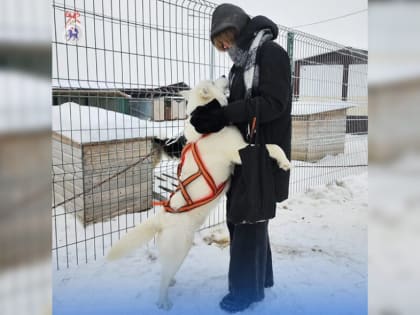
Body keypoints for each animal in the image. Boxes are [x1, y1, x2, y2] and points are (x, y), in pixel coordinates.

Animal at [106, 77, 288, 312]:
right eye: (212, 81)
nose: (224, 75)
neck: (208, 129)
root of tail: (162, 218)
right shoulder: (240, 151)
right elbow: (272, 147)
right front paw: (285, 161)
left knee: (166, 272)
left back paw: (171, 283)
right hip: (178, 250)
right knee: (163, 279)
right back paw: (163, 301)